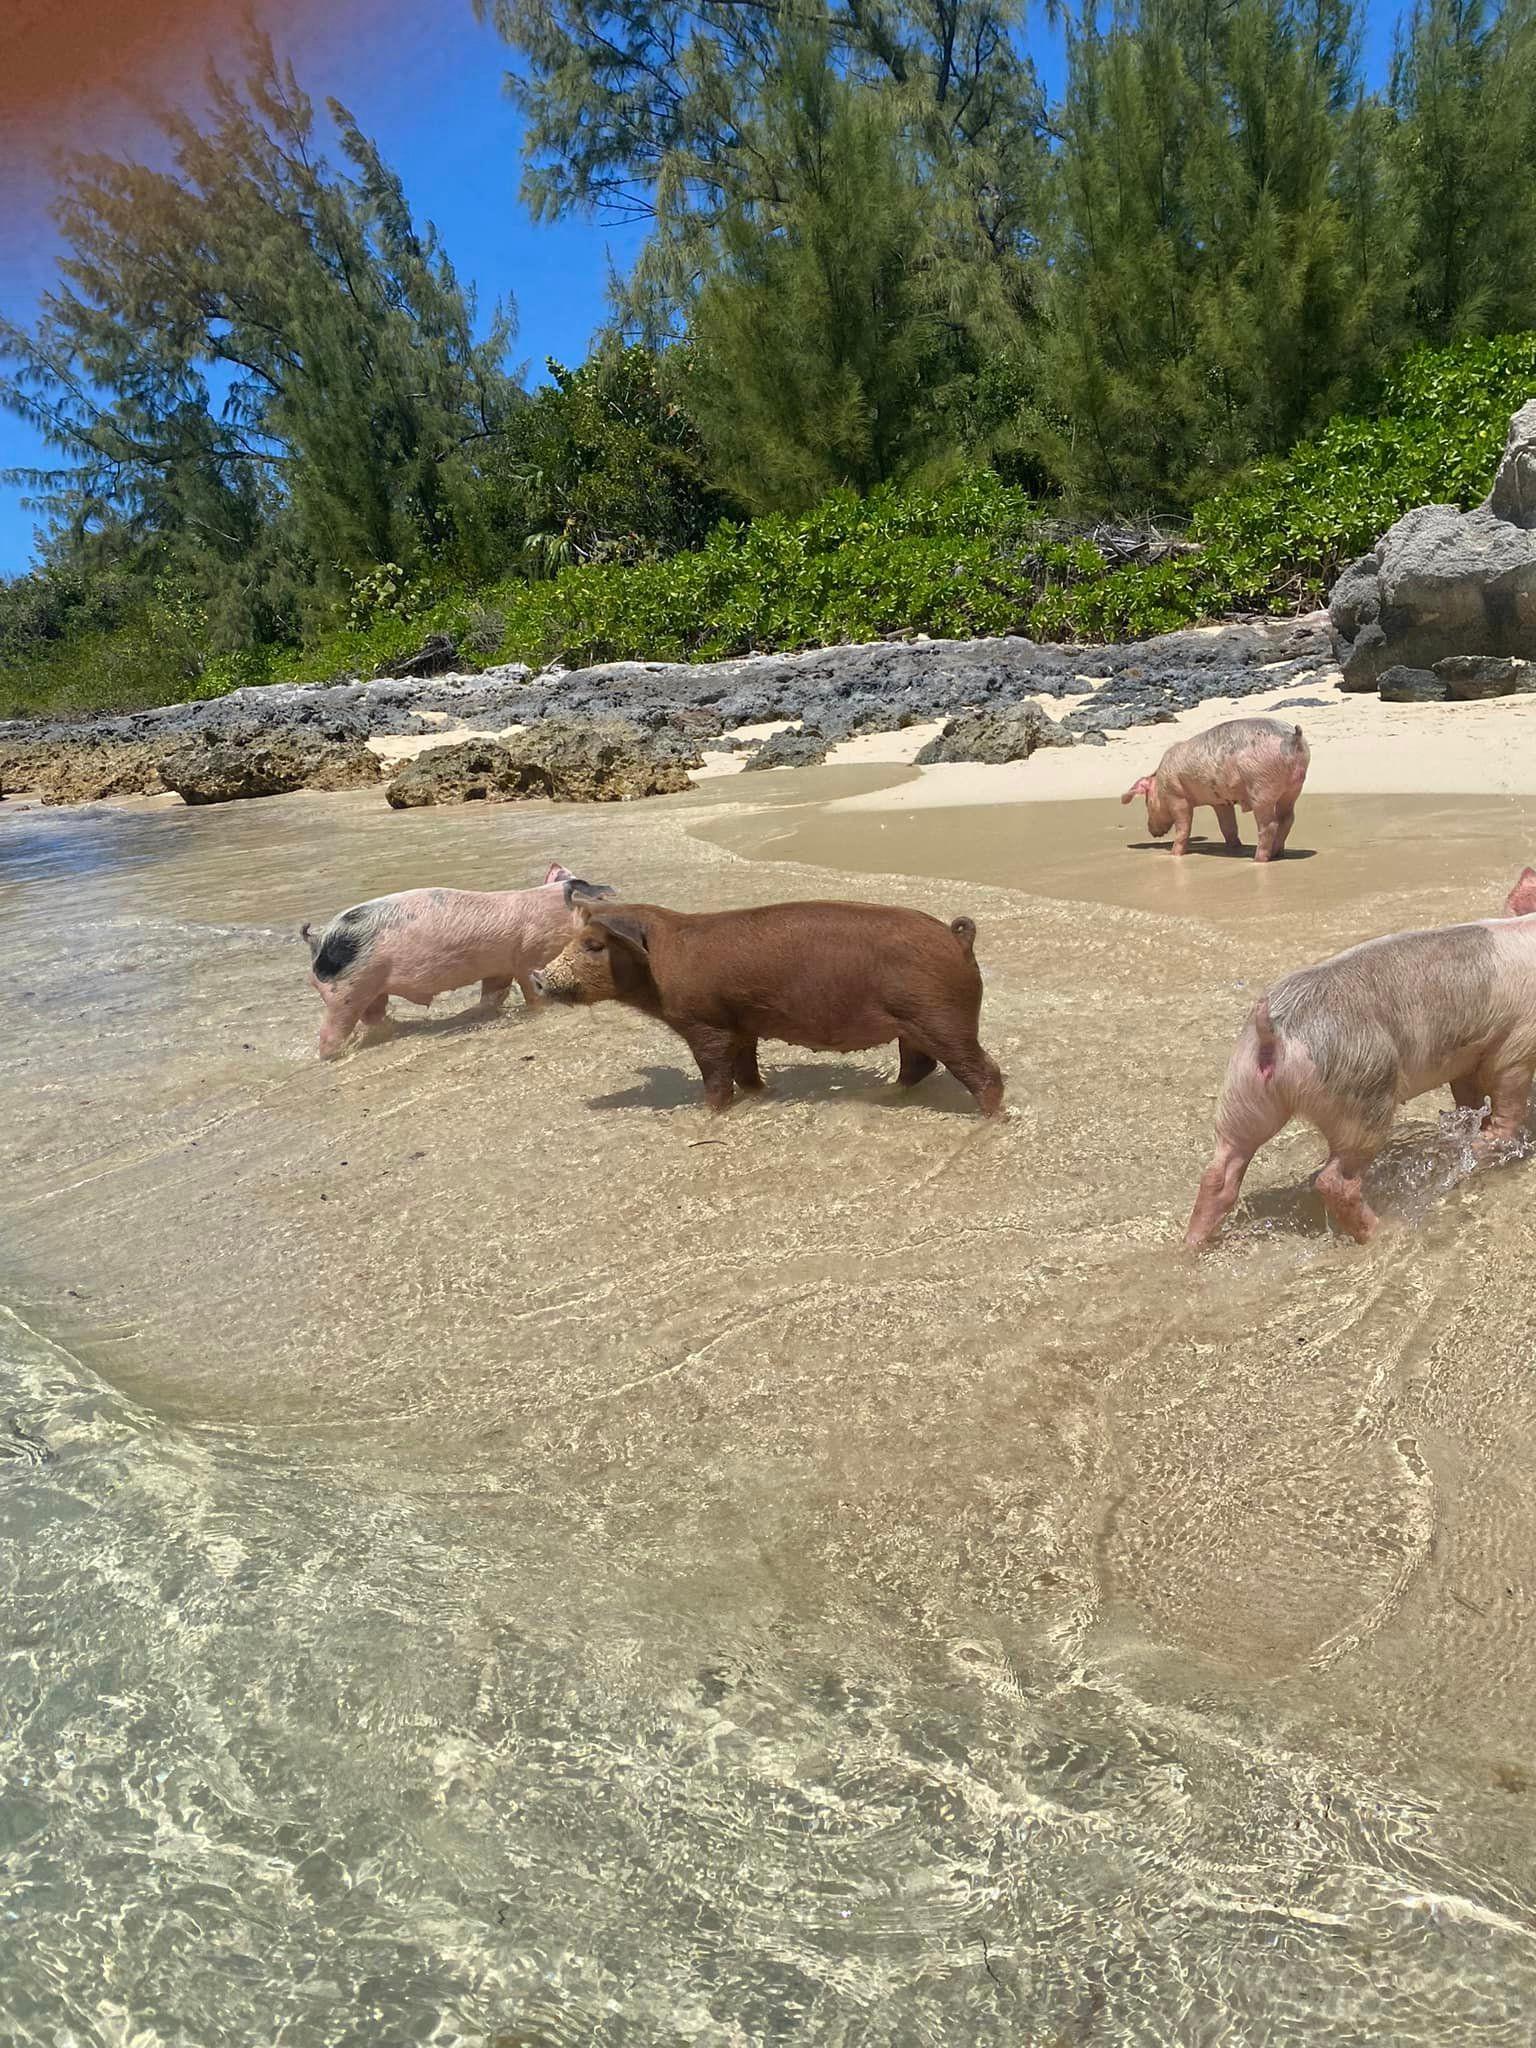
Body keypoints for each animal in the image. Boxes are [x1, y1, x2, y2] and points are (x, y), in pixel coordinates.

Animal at [301, 861, 613, 1059]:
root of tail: (318, 939)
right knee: (329, 1035)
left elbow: (493, 996)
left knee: (374, 1018)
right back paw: (336, 1056)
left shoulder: (500, 968)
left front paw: (482, 1014)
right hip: (346, 991)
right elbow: (533, 993)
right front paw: (544, 1009)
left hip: (371, 993)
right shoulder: (529, 956)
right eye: (601, 902)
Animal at [531, 897, 1005, 1115]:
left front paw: (709, 1114)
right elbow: (746, 1072)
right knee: (918, 1066)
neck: (662, 967)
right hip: (916, 1025)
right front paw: (762, 1095)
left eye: (594, 946)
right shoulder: (741, 1026)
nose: (537, 976)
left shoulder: (706, 1024)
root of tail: (958, 938)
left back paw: (991, 1120)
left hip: (943, 1017)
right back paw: (877, 1096)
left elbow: (716, 1078)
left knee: (985, 1071)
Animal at [1122, 718, 1310, 861]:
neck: (1161, 782)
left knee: (1270, 824)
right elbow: (1228, 827)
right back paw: (1277, 854)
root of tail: (1293, 737)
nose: (1151, 831)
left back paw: (1257, 859)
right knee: (1287, 818)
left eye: (1147, 802)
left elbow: (1183, 827)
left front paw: (1173, 855)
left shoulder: (1177, 796)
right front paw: (1234, 848)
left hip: (1261, 786)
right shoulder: (1221, 802)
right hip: (1294, 788)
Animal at [1185, 869, 1536, 1249]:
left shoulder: (1467, 1056)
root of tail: (1275, 1032)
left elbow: (1467, 1097)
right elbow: (1506, 1104)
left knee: (1219, 1171)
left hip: (1243, 1091)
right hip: (1363, 1092)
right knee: (1334, 1180)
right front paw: (1494, 1144)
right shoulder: (1517, 1043)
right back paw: (1386, 1231)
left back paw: (1191, 1247)